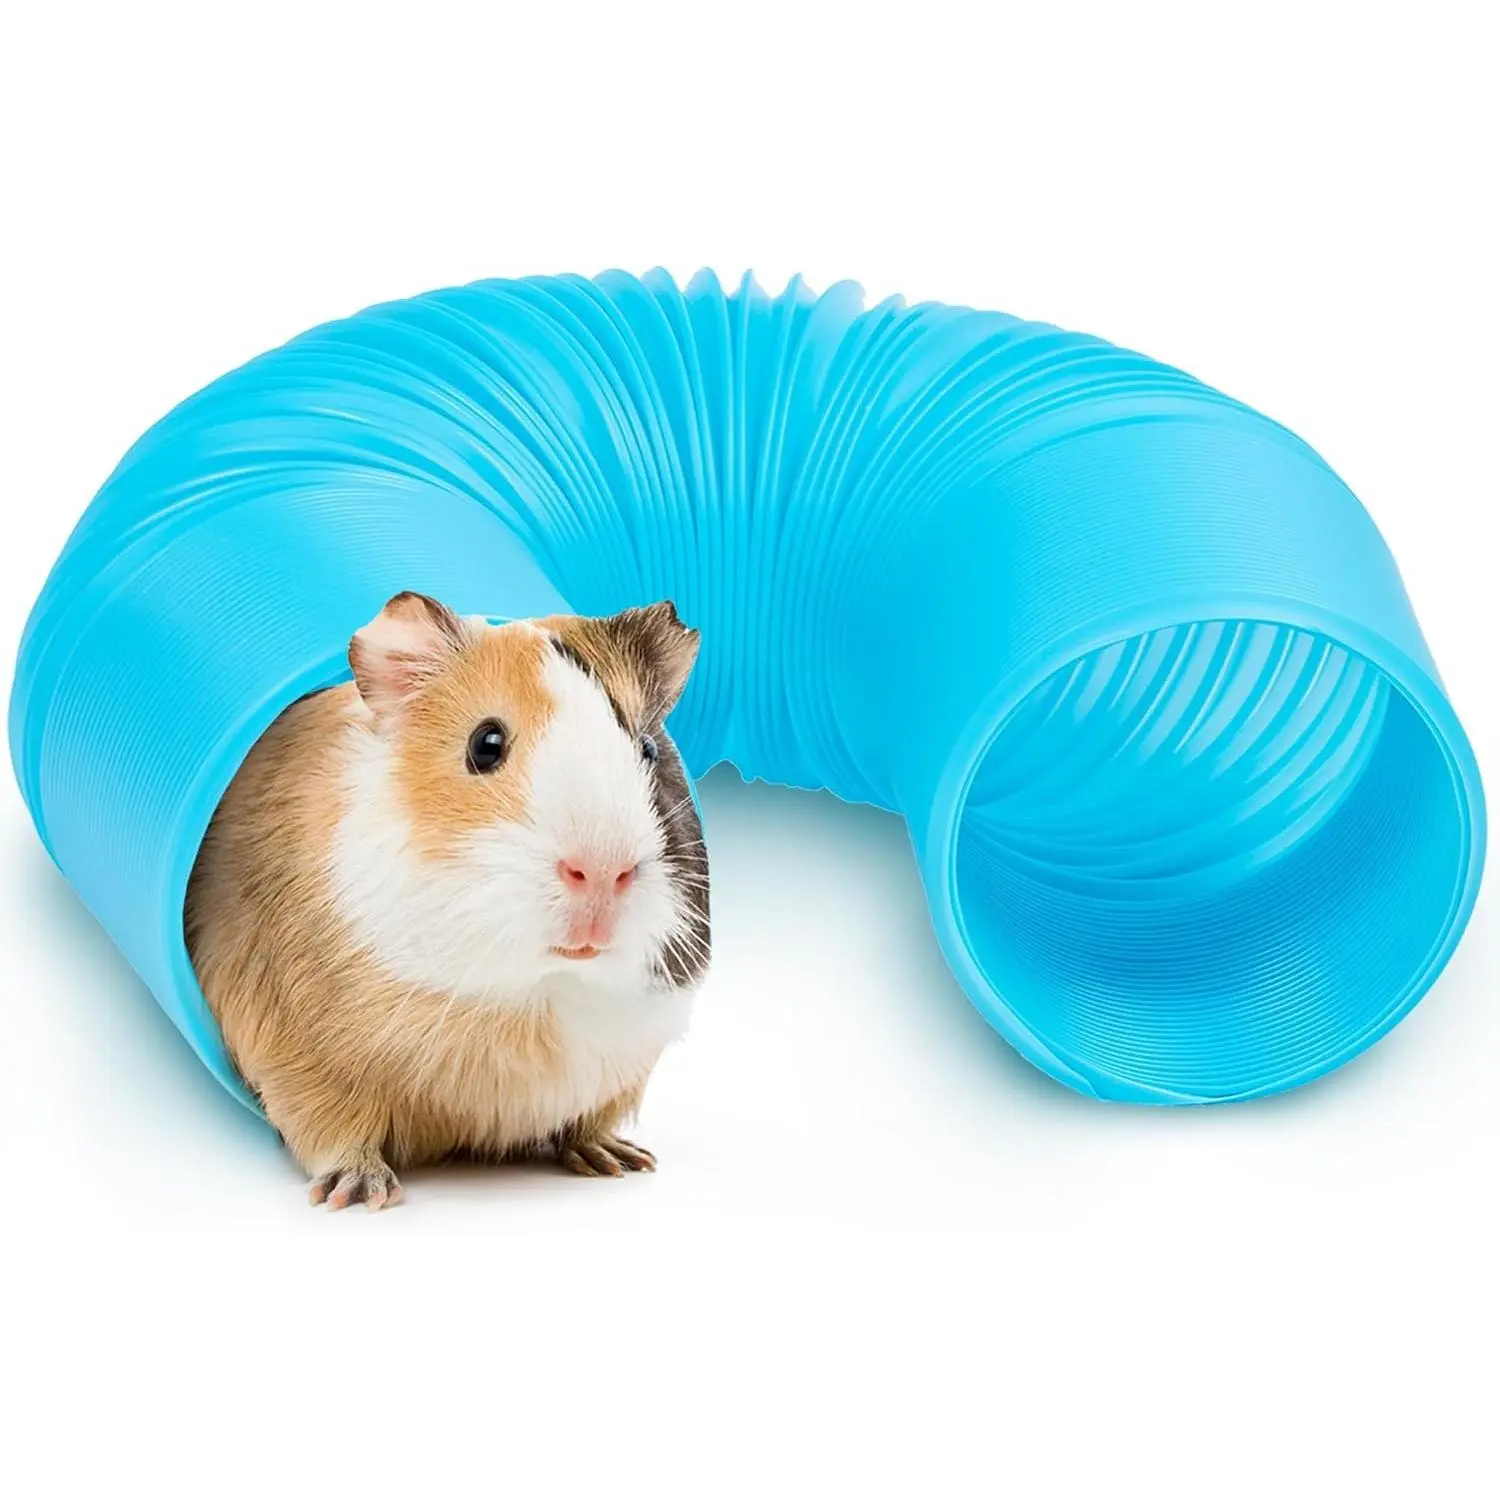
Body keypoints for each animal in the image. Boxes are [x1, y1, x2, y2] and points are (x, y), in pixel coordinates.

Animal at [185, 592, 709, 1210]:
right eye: (486, 744)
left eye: (647, 748)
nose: (604, 871)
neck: (534, 998)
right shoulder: (301, 1059)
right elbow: (334, 1132)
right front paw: (360, 1195)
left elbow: (587, 1121)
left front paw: (621, 1162)